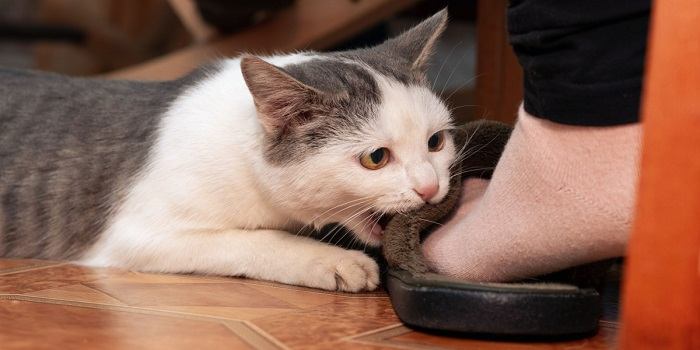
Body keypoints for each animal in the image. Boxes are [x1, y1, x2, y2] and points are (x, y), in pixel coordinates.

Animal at [0, 9, 454, 292]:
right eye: (376, 158)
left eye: (436, 142)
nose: (430, 188)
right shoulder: (136, 234)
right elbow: (257, 239)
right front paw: (333, 260)